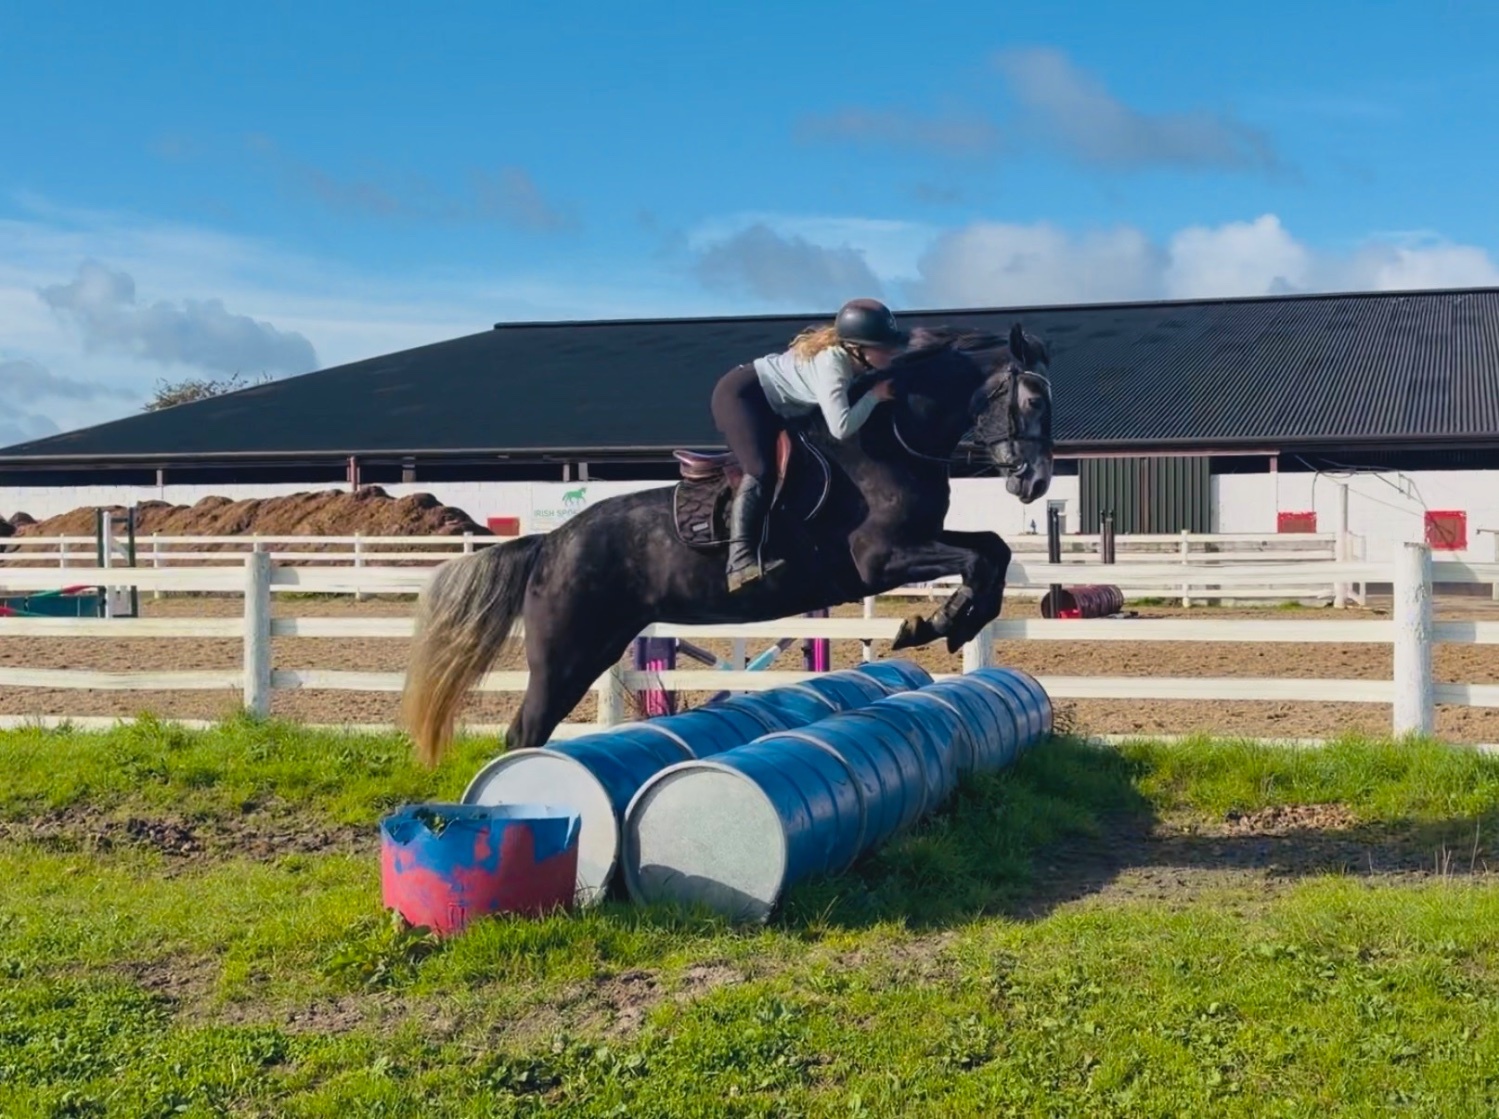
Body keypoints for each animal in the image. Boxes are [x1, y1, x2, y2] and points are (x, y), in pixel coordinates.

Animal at [400, 321, 1055, 766]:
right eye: (1032, 399)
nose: (1035, 481)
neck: (890, 438)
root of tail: (550, 542)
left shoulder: (919, 540)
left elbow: (992, 551)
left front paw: (954, 625)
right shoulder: (881, 560)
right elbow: (977, 557)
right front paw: (932, 624)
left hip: (600, 645)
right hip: (565, 654)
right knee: (525, 731)